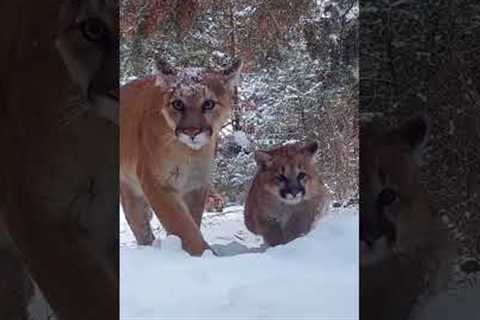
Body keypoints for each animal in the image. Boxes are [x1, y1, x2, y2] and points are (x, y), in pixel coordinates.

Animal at [119, 59, 240, 255]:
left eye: (208, 104)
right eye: (178, 104)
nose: (191, 132)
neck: (190, 153)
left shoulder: (196, 184)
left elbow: (192, 220)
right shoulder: (157, 182)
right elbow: (180, 222)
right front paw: (204, 254)